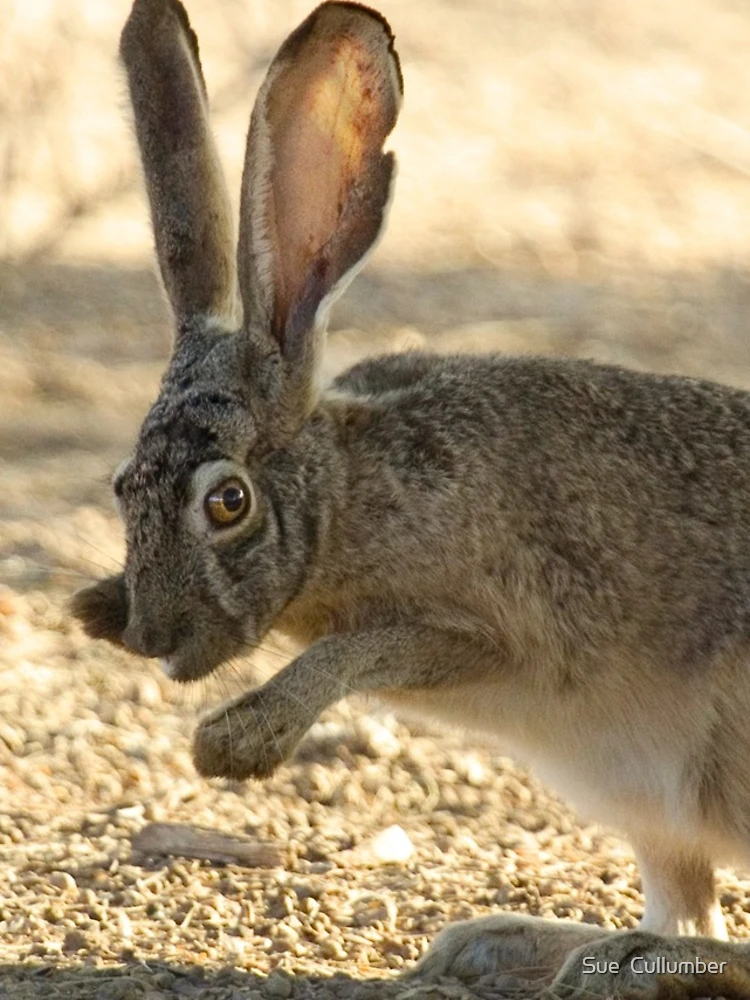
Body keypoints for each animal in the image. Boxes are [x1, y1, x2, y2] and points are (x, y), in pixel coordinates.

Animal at [72, 0, 750, 995]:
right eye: (124, 488)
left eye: (228, 502)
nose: (152, 636)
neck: (343, 492)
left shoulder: (488, 633)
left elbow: (356, 652)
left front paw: (237, 740)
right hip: (658, 813)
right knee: (686, 902)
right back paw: (520, 944)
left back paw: (624, 960)